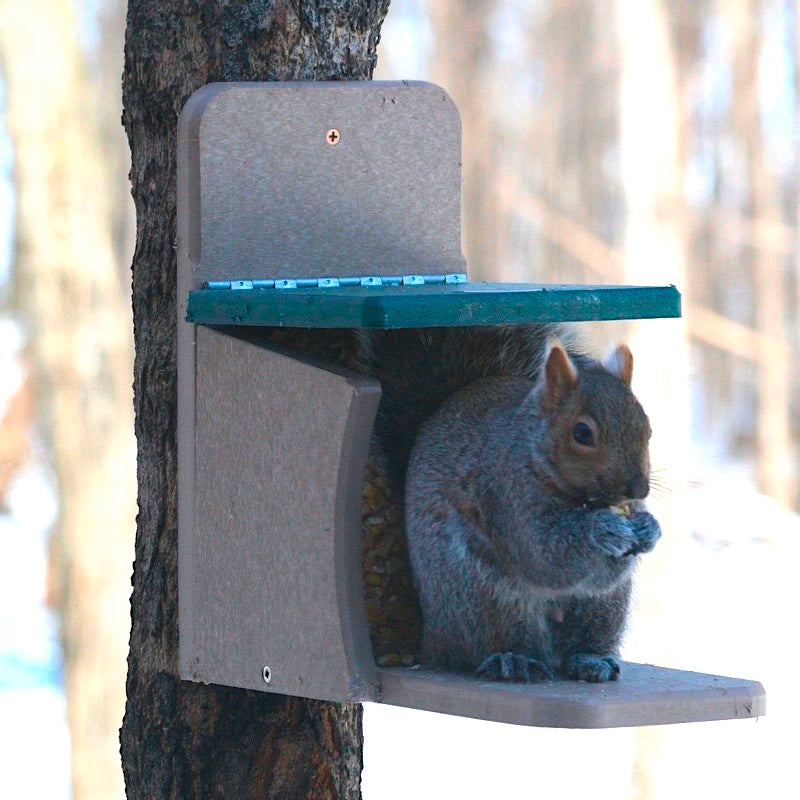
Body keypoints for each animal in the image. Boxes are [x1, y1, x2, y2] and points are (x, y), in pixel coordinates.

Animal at [354, 324, 660, 680]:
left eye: (647, 428)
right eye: (582, 433)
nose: (638, 489)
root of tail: (434, 637)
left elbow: (601, 574)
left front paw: (649, 528)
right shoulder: (504, 494)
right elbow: (545, 554)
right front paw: (604, 530)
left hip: (603, 608)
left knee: (581, 640)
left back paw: (590, 659)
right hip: (485, 602)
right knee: (490, 645)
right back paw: (512, 660)